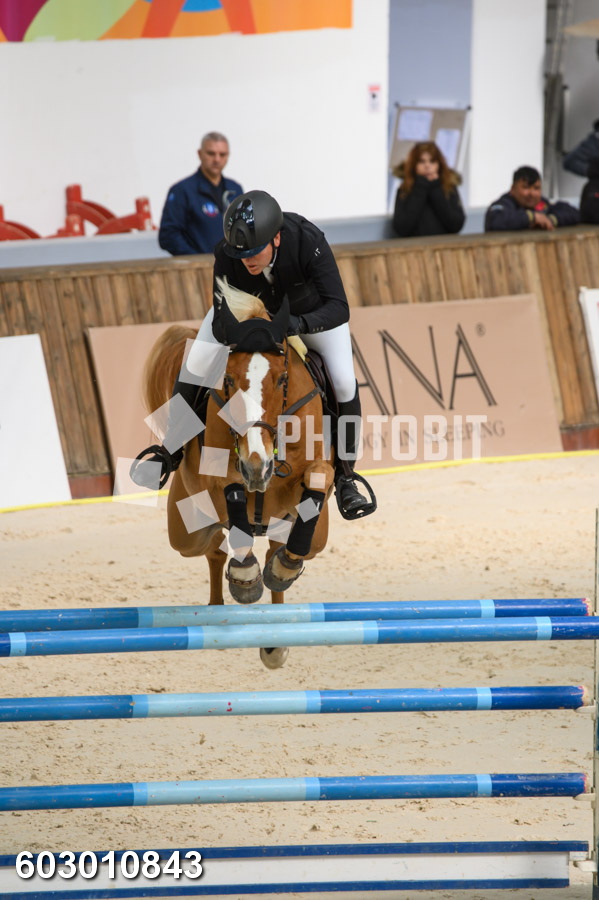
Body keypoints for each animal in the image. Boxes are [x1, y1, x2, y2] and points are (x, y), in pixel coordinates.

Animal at [142, 279, 335, 669]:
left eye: (282, 379)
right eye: (228, 380)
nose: (257, 468)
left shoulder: (306, 476)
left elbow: (319, 477)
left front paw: (282, 569)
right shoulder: (220, 481)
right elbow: (232, 495)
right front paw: (246, 577)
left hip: (311, 536)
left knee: (278, 545)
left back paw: (276, 633)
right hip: (187, 533)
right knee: (215, 549)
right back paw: (223, 604)